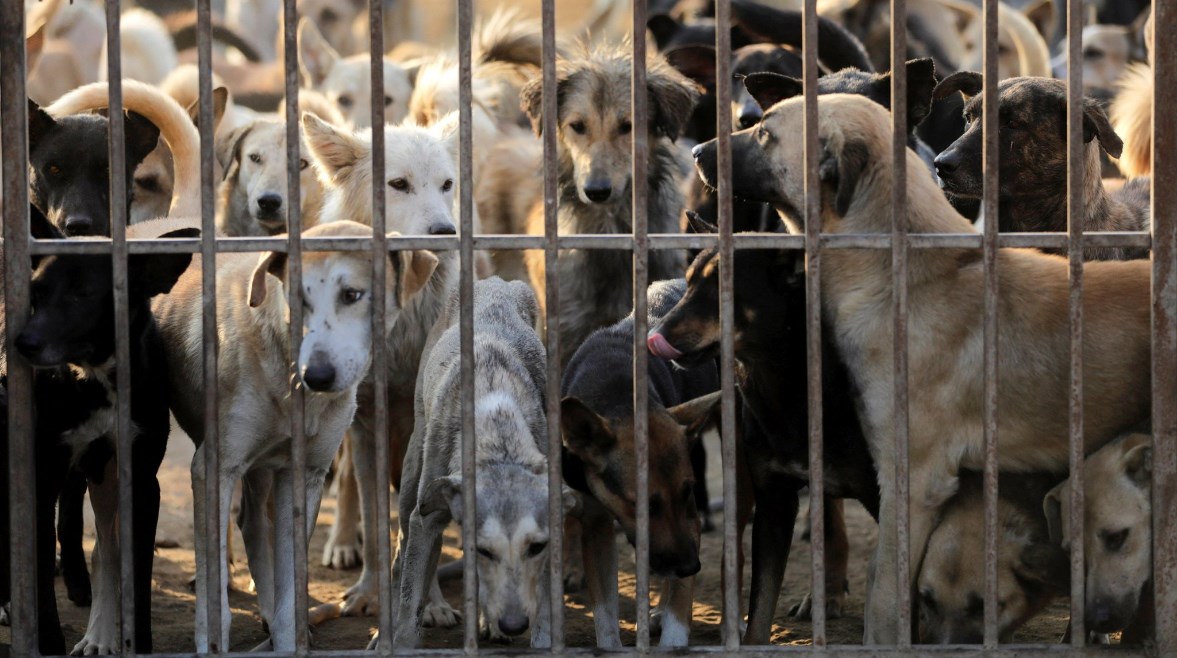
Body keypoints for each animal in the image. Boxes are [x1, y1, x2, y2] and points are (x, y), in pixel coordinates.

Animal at [0, 214, 197, 656]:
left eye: (83, 294)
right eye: (36, 292)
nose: (22, 344)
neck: (95, 379)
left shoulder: (141, 481)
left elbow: (132, 572)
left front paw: (133, 640)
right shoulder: (40, 480)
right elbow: (39, 574)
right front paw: (47, 642)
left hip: (99, 478)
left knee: (99, 545)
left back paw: (93, 620)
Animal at [152, 220, 437, 651]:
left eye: (352, 295)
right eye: (297, 299)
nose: (316, 375)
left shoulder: (304, 474)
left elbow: (291, 587)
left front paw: (287, 635)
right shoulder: (215, 470)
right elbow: (214, 589)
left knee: (253, 523)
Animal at [383, 276, 572, 648]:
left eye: (536, 547)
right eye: (482, 550)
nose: (513, 624)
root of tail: (495, 281)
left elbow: (544, 618)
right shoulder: (427, 519)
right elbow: (410, 608)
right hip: (412, 478)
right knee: (402, 555)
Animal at [560, 278, 721, 647]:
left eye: (687, 492)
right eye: (644, 505)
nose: (692, 567)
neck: (619, 396)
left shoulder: (689, 519)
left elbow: (679, 605)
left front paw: (672, 635)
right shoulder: (595, 521)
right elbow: (604, 612)